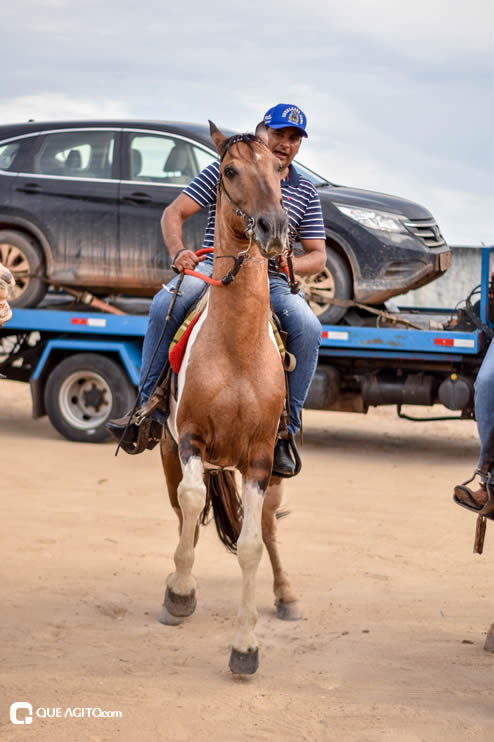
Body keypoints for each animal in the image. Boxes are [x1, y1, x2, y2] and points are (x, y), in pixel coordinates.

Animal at [160, 125, 302, 676]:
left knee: (266, 530)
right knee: (185, 511)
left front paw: (245, 647)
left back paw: (286, 596)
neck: (237, 350)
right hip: (169, 452)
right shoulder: (190, 441)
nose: (274, 228)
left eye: (279, 169)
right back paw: (178, 587)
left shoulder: (260, 460)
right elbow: (190, 504)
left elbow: (251, 547)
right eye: (229, 170)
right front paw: (180, 592)